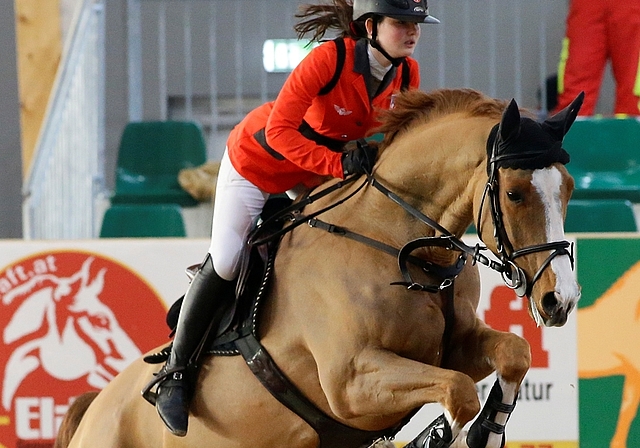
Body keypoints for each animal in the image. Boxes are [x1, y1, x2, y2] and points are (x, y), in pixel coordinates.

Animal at [57, 88, 584, 448]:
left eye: (569, 188)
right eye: (514, 193)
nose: (560, 300)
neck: (402, 248)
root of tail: (94, 407)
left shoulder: (452, 346)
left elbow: (514, 352)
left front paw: (487, 432)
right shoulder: (350, 382)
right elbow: (458, 393)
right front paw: (435, 437)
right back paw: (171, 399)